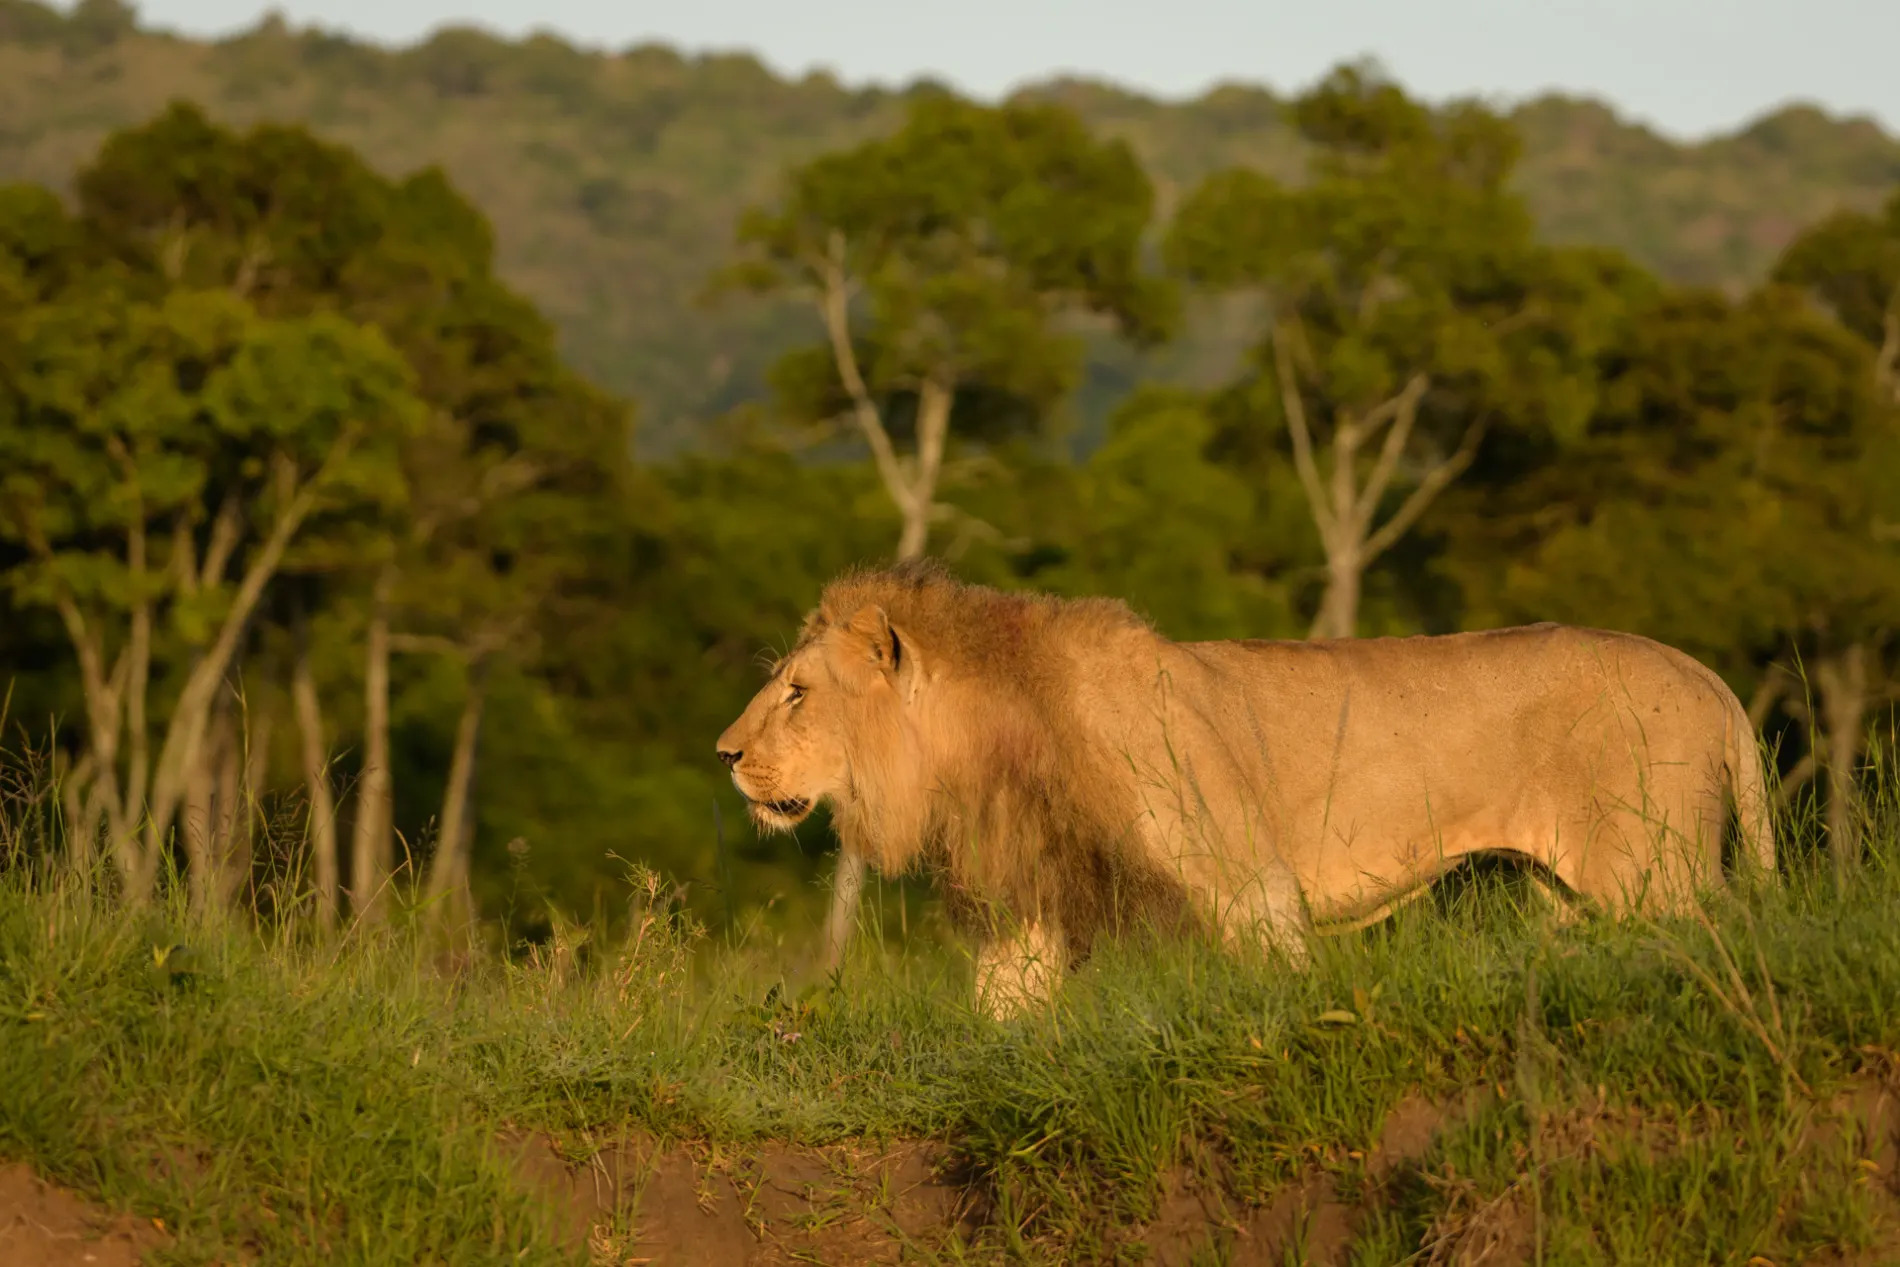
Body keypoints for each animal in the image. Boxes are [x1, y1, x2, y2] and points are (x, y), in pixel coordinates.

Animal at [714, 566, 1763, 1018]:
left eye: (797, 691)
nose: (723, 753)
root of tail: (1713, 681)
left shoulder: (1245, 882)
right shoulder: (1037, 908)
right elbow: (1002, 1013)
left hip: (1653, 875)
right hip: (1573, 899)